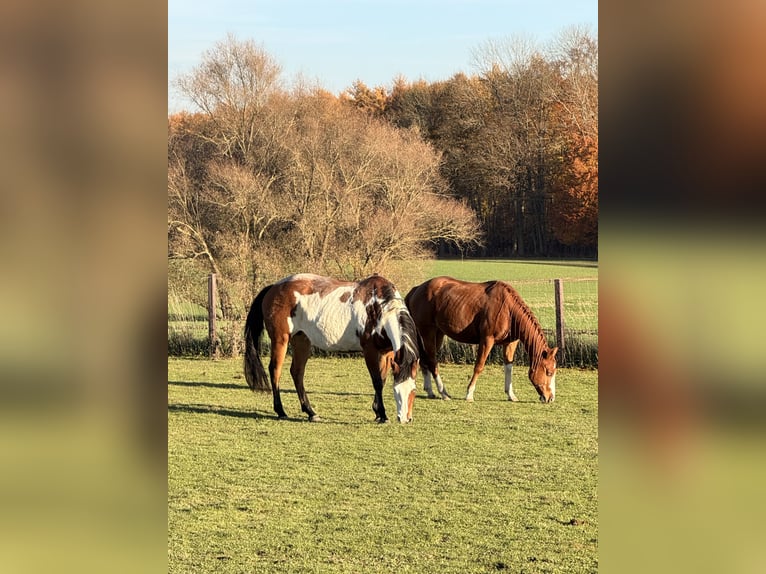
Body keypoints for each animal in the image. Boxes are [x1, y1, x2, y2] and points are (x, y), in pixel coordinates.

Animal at [243, 273, 420, 423]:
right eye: (396, 392)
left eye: (413, 391)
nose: (405, 419)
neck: (379, 307)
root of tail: (274, 287)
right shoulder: (369, 350)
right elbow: (376, 381)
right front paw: (382, 415)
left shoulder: (386, 352)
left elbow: (382, 380)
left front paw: (377, 412)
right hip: (281, 339)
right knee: (275, 370)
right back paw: (280, 411)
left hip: (301, 340)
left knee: (297, 372)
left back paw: (310, 412)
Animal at [405, 276, 558, 403]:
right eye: (549, 372)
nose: (550, 398)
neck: (508, 310)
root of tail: (416, 289)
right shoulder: (487, 340)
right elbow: (479, 366)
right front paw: (469, 394)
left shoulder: (510, 343)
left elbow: (509, 367)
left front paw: (511, 395)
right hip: (427, 332)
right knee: (432, 360)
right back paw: (443, 393)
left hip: (438, 333)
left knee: (425, 360)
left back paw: (430, 391)